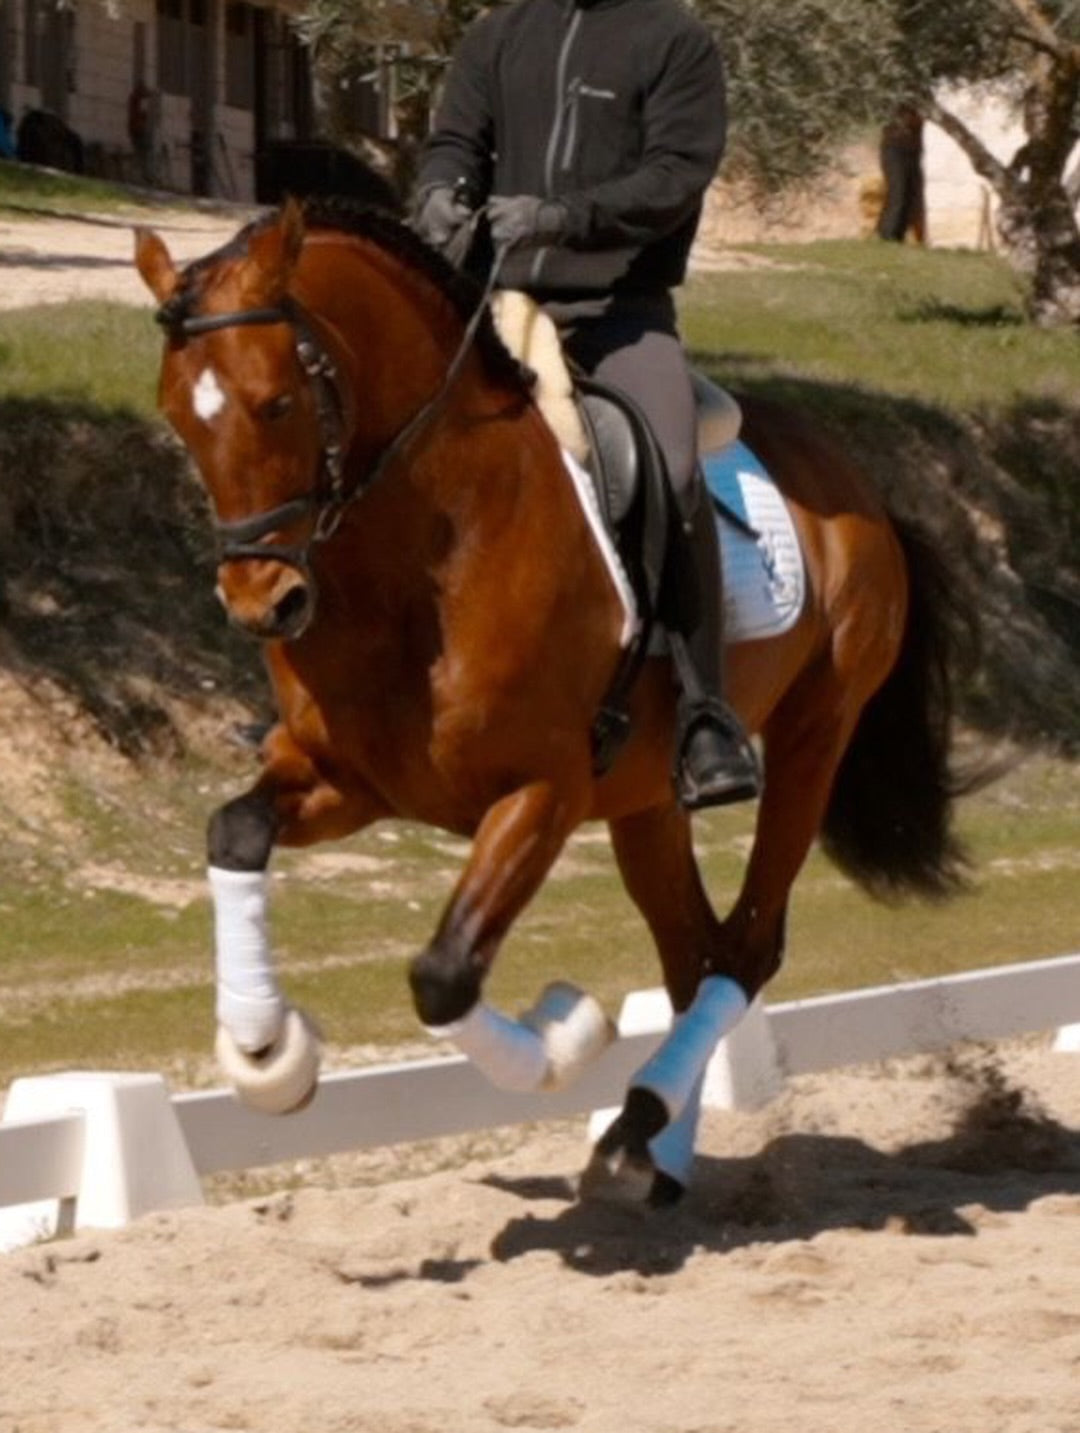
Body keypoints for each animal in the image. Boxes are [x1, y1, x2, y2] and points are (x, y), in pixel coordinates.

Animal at [133, 196, 970, 1205]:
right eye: (178, 415)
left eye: (277, 403)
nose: (264, 602)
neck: (415, 554)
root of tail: (858, 487)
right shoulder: (347, 780)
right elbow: (235, 831)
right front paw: (268, 1051)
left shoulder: (543, 792)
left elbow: (446, 975)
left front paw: (566, 1036)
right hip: (647, 800)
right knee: (692, 954)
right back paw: (654, 1153)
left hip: (815, 735)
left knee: (747, 947)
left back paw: (638, 1121)